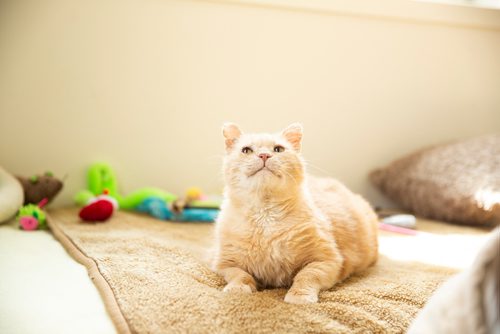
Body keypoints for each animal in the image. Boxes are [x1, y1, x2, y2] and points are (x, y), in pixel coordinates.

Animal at [211, 124, 378, 304]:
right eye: (246, 150)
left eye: (278, 149)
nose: (264, 155)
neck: (265, 216)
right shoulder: (224, 263)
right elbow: (240, 275)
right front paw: (238, 289)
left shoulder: (327, 260)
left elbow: (306, 276)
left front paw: (299, 296)